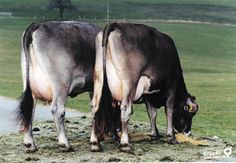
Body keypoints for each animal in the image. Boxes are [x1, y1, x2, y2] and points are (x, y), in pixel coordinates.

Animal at [15, 20, 104, 153]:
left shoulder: (93, 88)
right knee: (57, 110)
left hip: (29, 85)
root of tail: (39, 24)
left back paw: (30, 144)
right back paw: (65, 143)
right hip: (61, 84)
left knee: (29, 111)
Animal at [91, 21, 198, 152]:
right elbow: (169, 110)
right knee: (125, 109)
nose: (187, 132)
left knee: (95, 107)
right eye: (188, 112)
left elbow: (152, 113)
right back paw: (125, 144)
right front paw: (170, 137)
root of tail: (115, 24)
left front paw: (154, 134)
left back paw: (95, 143)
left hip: (99, 79)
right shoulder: (171, 83)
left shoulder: (148, 94)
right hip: (130, 82)